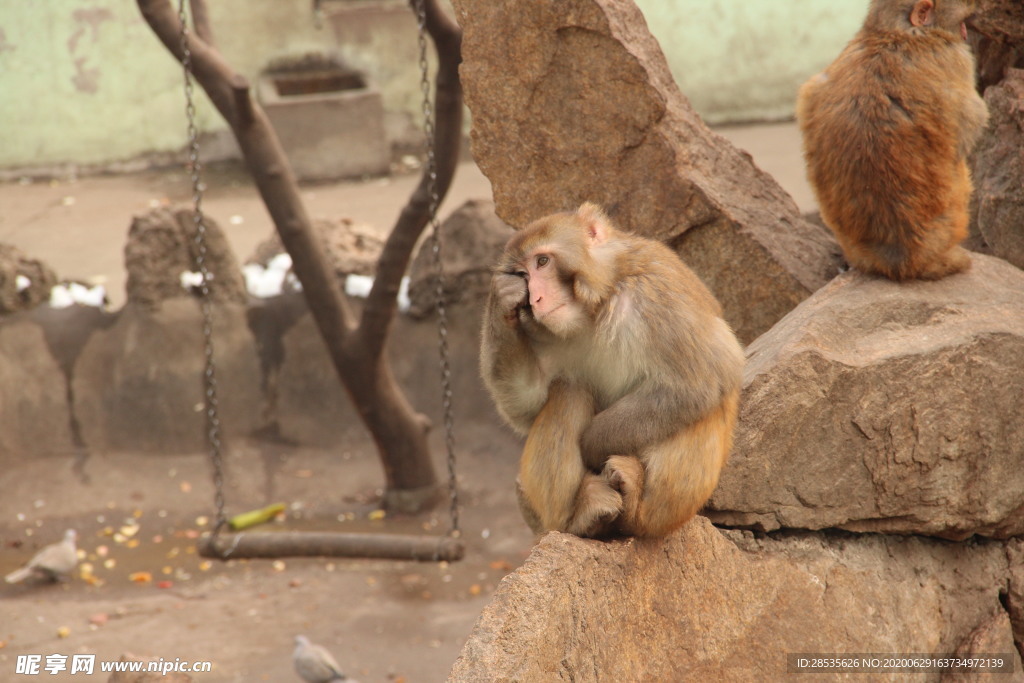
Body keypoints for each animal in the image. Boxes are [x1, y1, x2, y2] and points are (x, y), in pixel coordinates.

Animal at [479, 202, 745, 540]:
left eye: (542, 261)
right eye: (523, 275)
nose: (536, 299)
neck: (599, 302)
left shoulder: (657, 293)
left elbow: (702, 381)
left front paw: (591, 443)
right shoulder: (540, 331)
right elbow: (527, 407)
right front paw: (501, 300)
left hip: (678, 506)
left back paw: (636, 501)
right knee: (568, 391)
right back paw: (580, 517)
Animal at [794, 0, 987, 280]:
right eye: (962, 18)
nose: (965, 32)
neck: (895, 34)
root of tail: (902, 261)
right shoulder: (955, 58)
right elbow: (968, 129)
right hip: (950, 221)